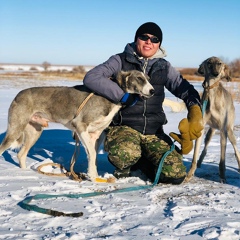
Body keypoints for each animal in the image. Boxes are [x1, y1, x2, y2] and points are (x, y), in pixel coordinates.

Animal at [0, 71, 154, 182]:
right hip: (16, 129)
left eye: (148, 78)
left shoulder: (95, 135)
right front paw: (94, 178)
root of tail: (18, 94)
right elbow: (92, 153)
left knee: (21, 154)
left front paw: (94, 176)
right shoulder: (80, 126)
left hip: (35, 131)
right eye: (139, 78)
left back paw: (24, 173)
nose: (152, 91)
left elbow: (93, 156)